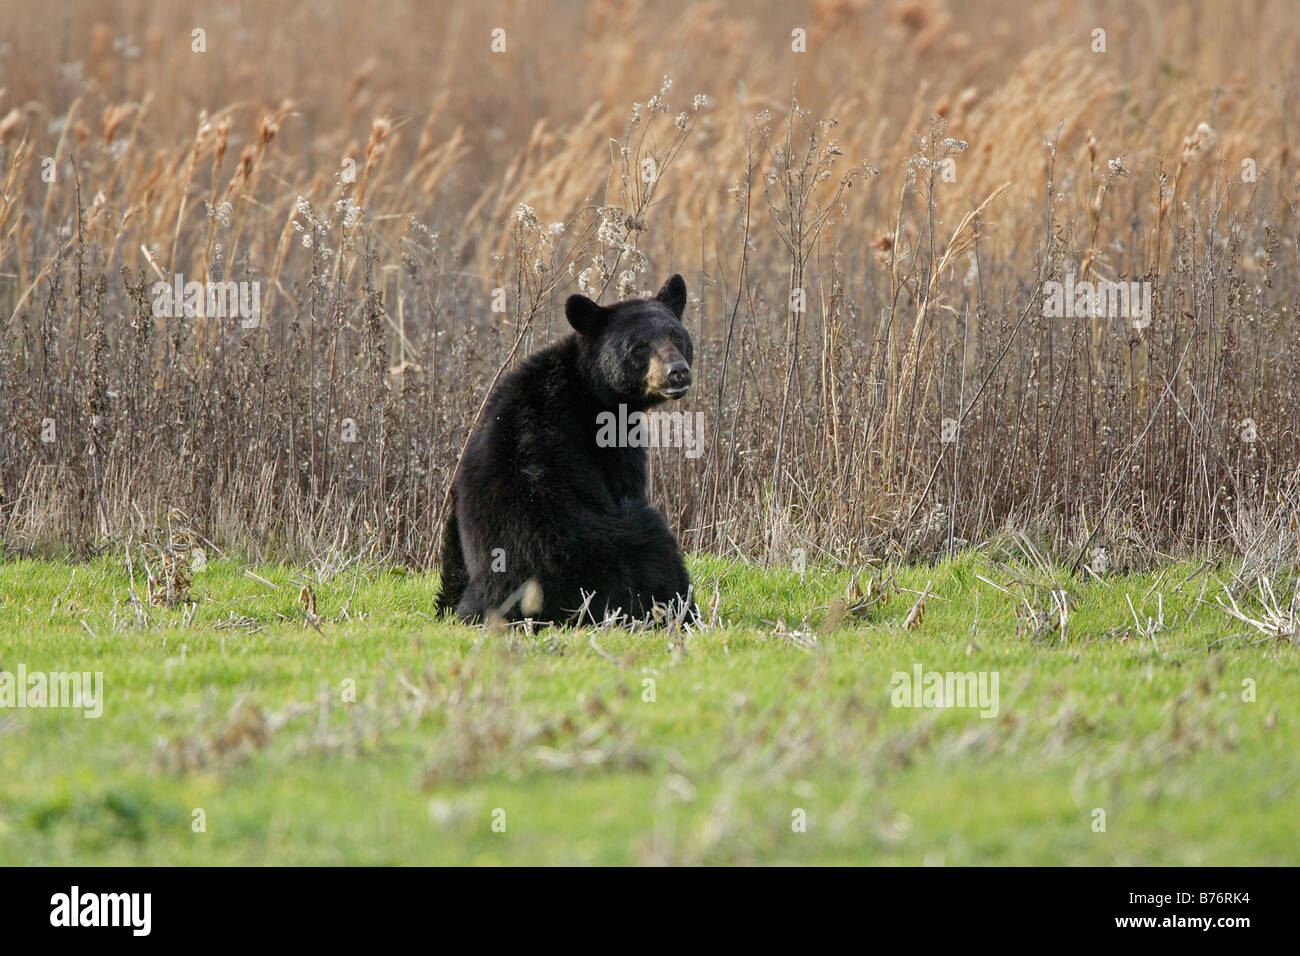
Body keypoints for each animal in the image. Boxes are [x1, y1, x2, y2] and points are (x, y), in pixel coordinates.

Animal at [435, 274, 696, 625]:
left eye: (677, 335)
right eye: (638, 347)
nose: (676, 372)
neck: (589, 384)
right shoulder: (611, 445)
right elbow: (626, 484)